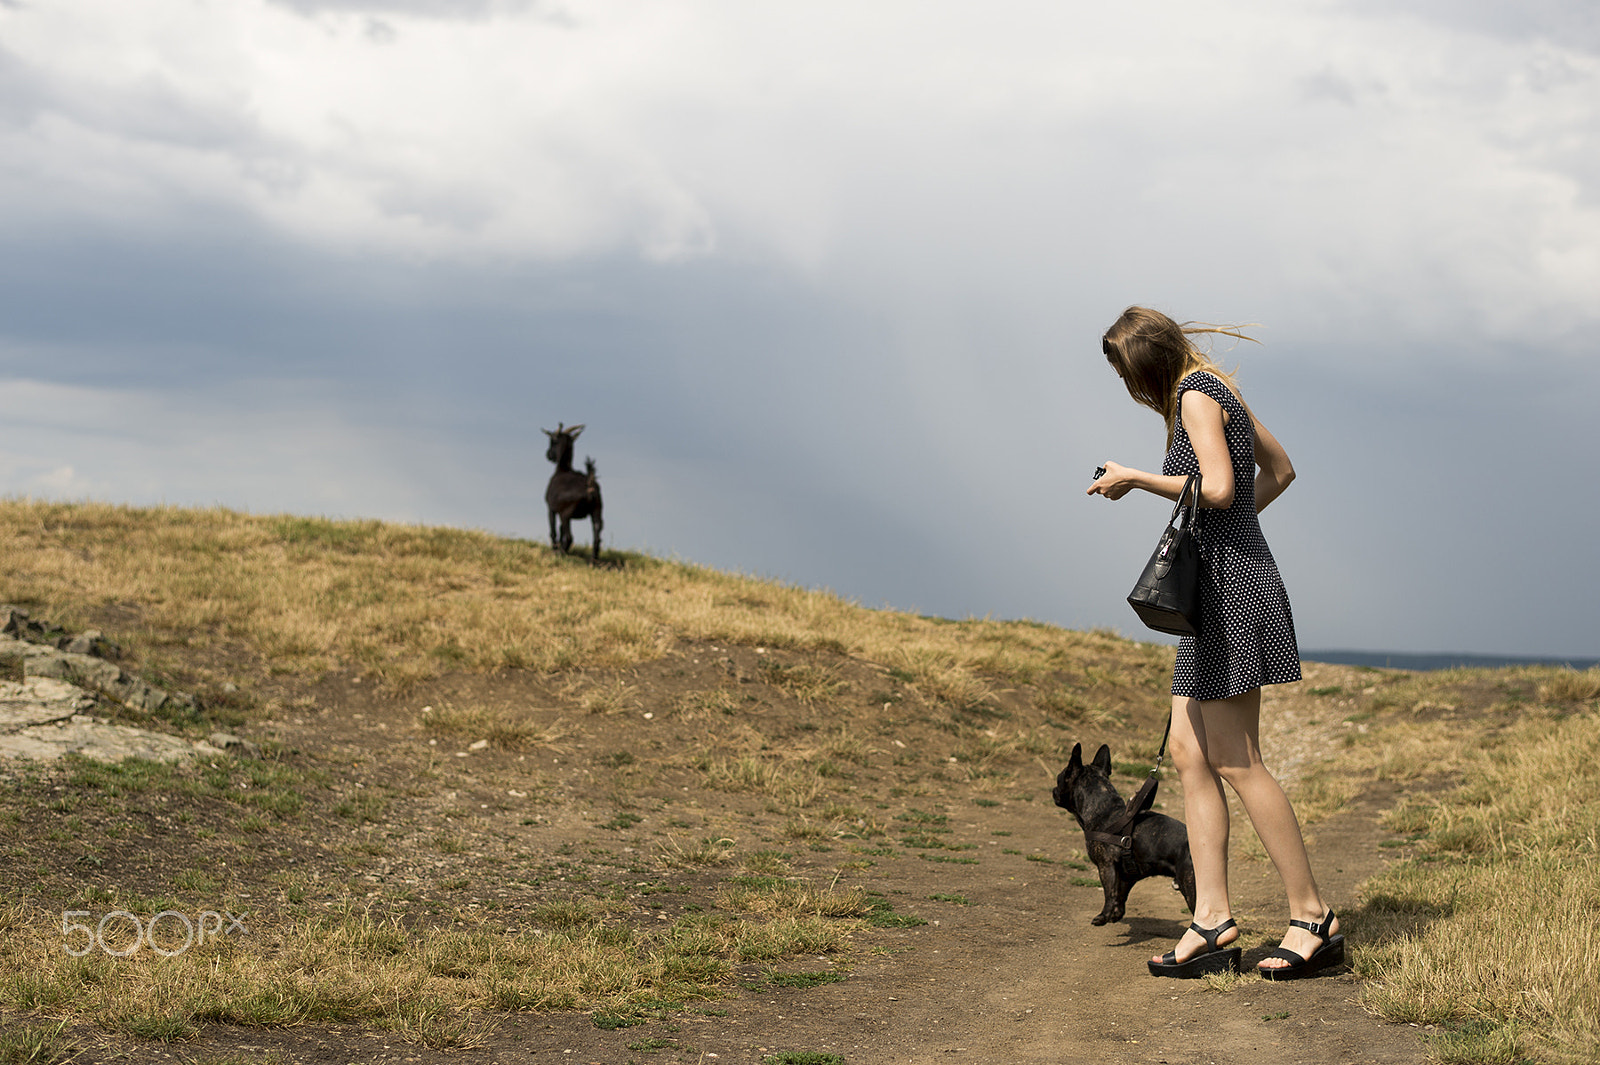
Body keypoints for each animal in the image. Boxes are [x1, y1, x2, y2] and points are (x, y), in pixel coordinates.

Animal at [547, 422, 601, 559]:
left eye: (553, 441)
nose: (548, 455)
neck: (563, 470)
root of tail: (588, 487)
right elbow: (560, 530)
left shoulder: (551, 508)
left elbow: (553, 530)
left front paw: (555, 548)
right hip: (597, 510)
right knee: (597, 536)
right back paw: (593, 559)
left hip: (567, 514)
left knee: (570, 537)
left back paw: (562, 552)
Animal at [1056, 738, 1196, 921]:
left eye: (1059, 779)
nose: (1054, 791)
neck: (1103, 809)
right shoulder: (1128, 874)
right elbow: (1121, 893)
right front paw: (1116, 913)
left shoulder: (1106, 865)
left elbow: (1109, 893)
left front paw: (1103, 916)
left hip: (1191, 886)